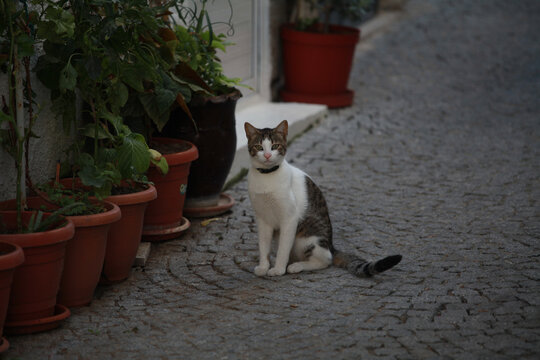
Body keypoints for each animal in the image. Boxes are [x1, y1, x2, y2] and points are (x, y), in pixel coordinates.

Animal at [245, 119, 400, 278]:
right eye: (259, 147)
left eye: (275, 146)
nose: (267, 155)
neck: (267, 177)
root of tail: (330, 245)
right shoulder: (263, 219)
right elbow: (264, 246)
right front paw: (264, 266)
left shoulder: (289, 218)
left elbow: (283, 249)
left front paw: (278, 269)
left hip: (307, 239)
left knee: (325, 260)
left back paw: (297, 266)